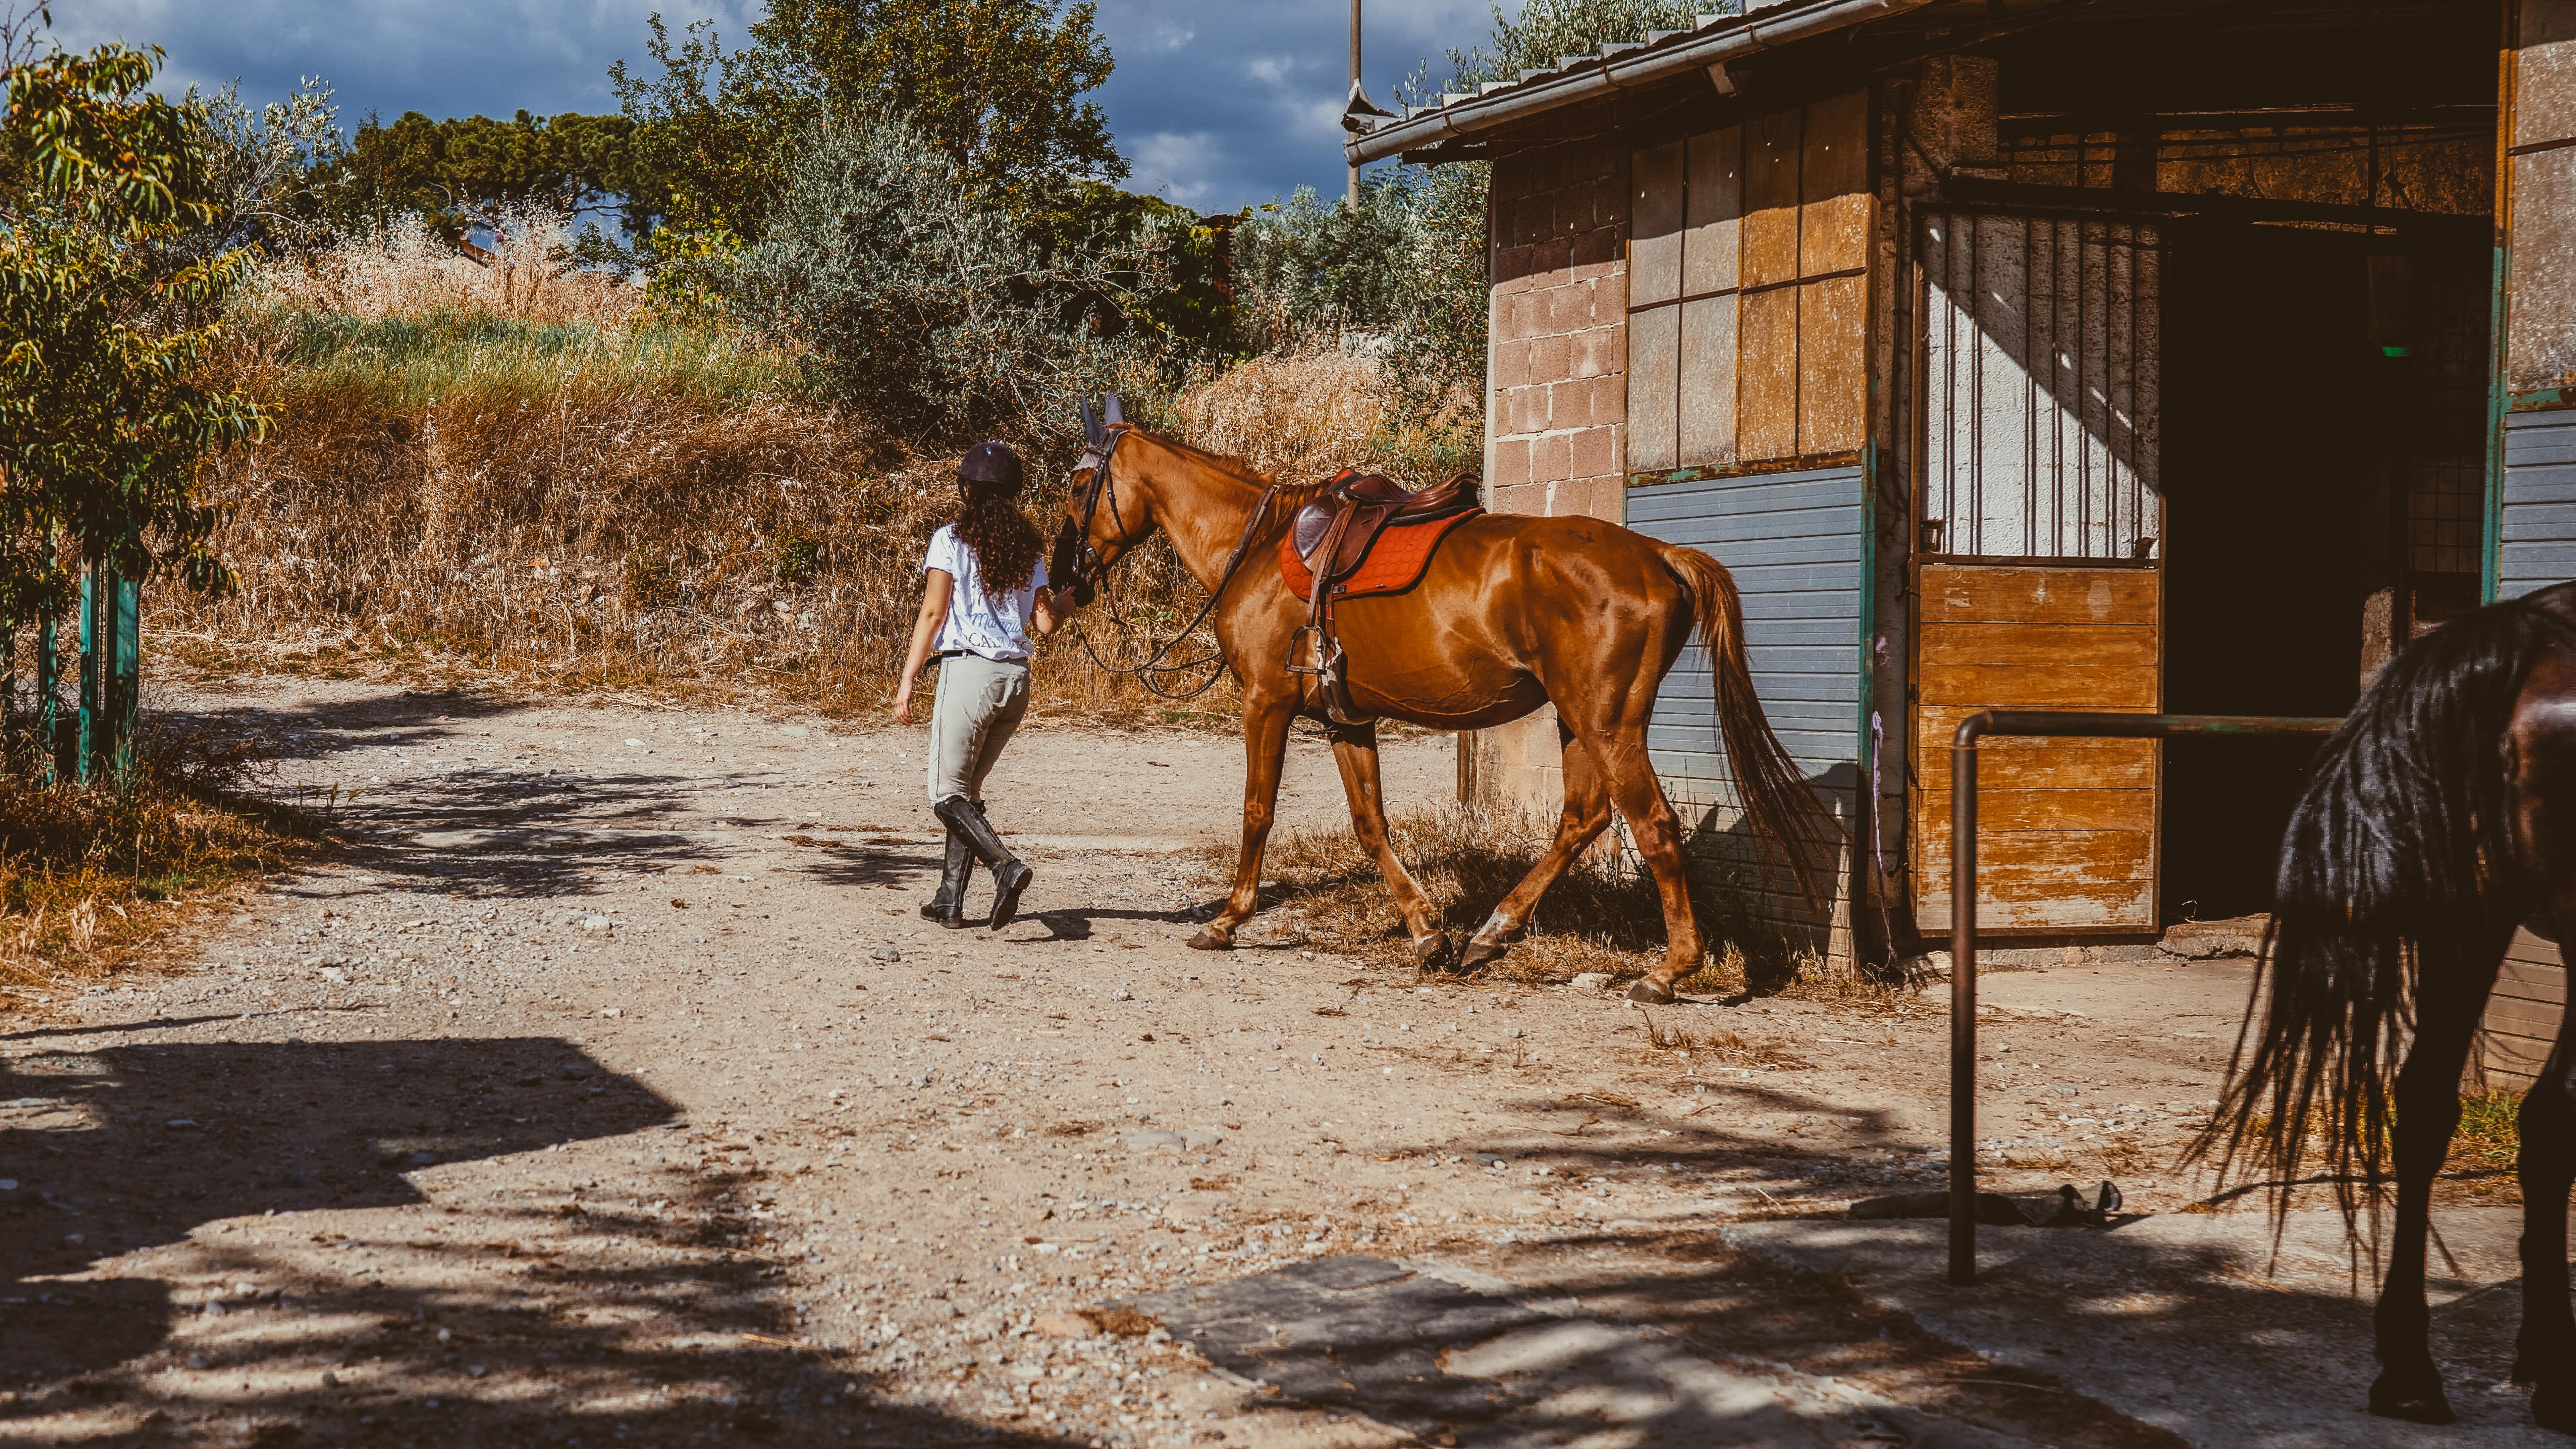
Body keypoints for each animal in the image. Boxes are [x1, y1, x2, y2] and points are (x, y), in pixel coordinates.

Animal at [1045, 419, 1820, 1003]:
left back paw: (1667, 972)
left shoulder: (1265, 703)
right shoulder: (1346, 719)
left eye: (1081, 486)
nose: (1061, 581)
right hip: (1579, 721)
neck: (1258, 550)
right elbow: (1370, 824)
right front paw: (1427, 931)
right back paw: (1493, 933)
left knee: (1653, 825)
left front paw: (1229, 919)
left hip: (1608, 725)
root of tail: (1659, 555)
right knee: (1583, 819)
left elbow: (1257, 812)